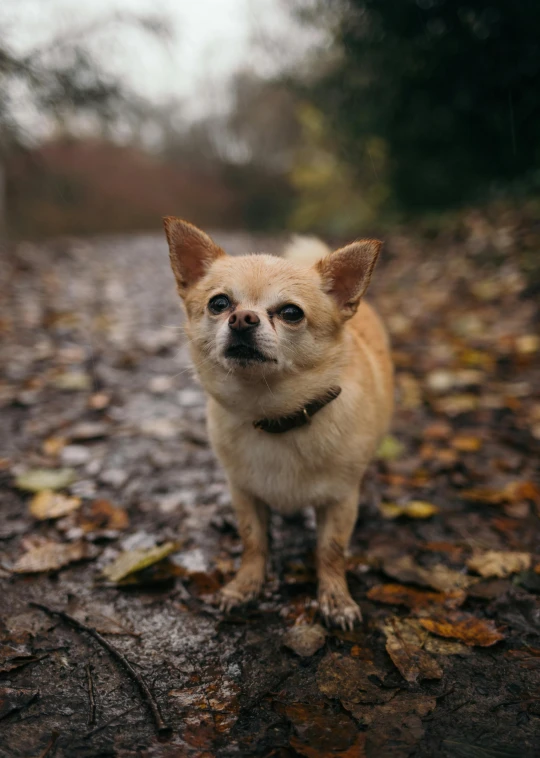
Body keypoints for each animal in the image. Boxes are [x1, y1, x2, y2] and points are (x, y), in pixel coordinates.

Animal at [161, 218, 392, 628]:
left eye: (291, 313)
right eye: (219, 304)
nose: (242, 318)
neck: (274, 413)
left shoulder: (340, 501)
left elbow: (331, 551)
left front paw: (335, 599)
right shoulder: (244, 493)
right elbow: (254, 542)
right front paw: (245, 586)